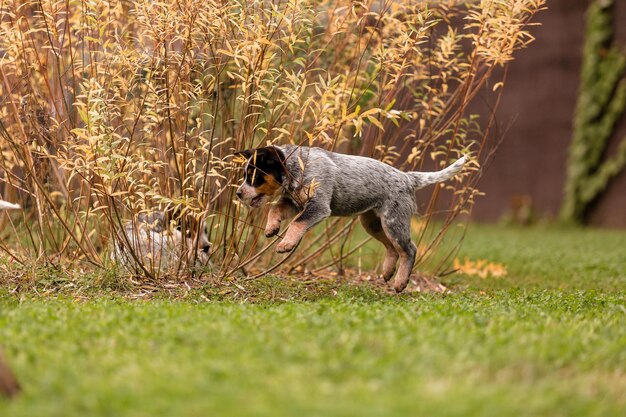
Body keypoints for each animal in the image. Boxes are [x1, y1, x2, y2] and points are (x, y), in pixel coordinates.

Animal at [234, 145, 464, 290]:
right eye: (246, 175)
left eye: (254, 176)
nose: (238, 193)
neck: (299, 165)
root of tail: (408, 178)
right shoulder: (293, 202)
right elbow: (274, 209)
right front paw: (271, 228)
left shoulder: (318, 206)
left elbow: (297, 223)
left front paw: (285, 245)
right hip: (372, 223)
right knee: (392, 248)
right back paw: (387, 273)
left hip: (393, 221)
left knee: (409, 249)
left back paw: (400, 283)